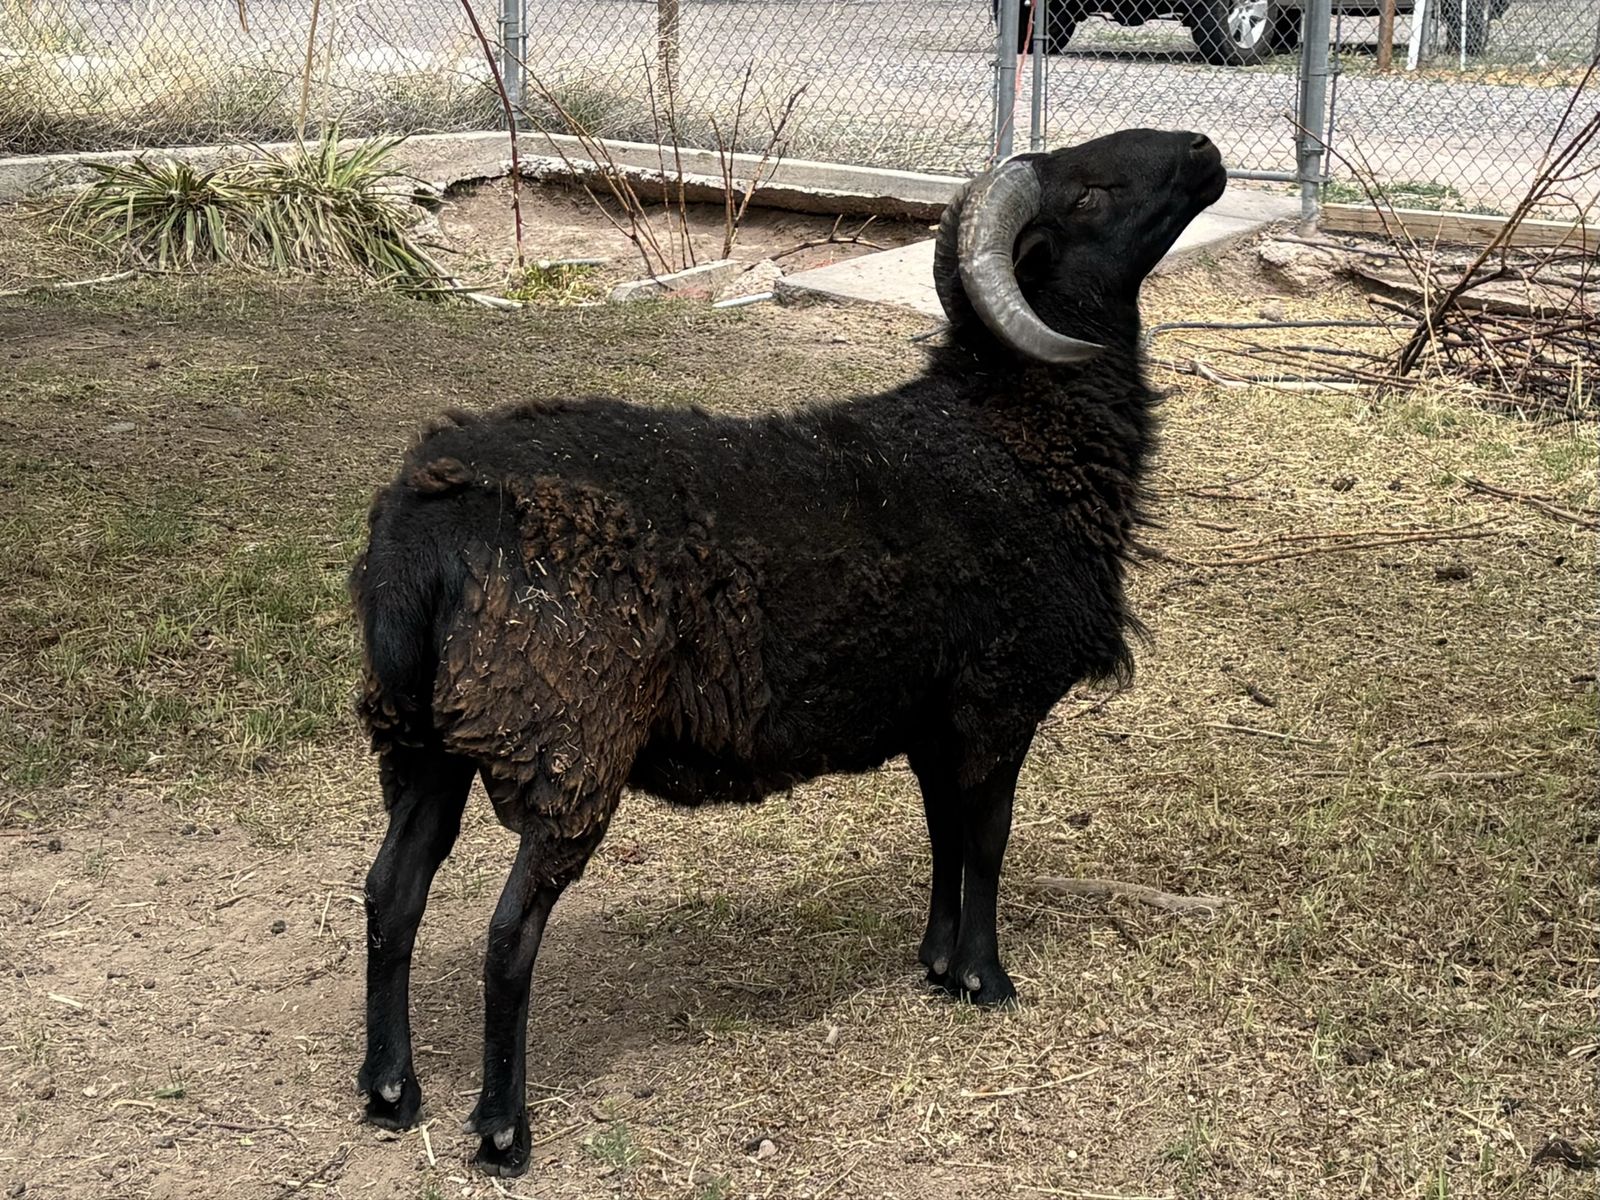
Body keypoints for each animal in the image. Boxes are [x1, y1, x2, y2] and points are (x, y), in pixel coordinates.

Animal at [350, 127, 1228, 1177]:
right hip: (567, 741)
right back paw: (500, 1130)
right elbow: (986, 841)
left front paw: (936, 964)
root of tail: (427, 515)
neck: (1012, 437)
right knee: (506, 935)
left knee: (391, 896)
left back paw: (389, 1091)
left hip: (423, 739)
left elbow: (942, 835)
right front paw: (987, 979)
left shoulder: (932, 716)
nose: (1206, 149)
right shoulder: (995, 704)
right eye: (1090, 194)